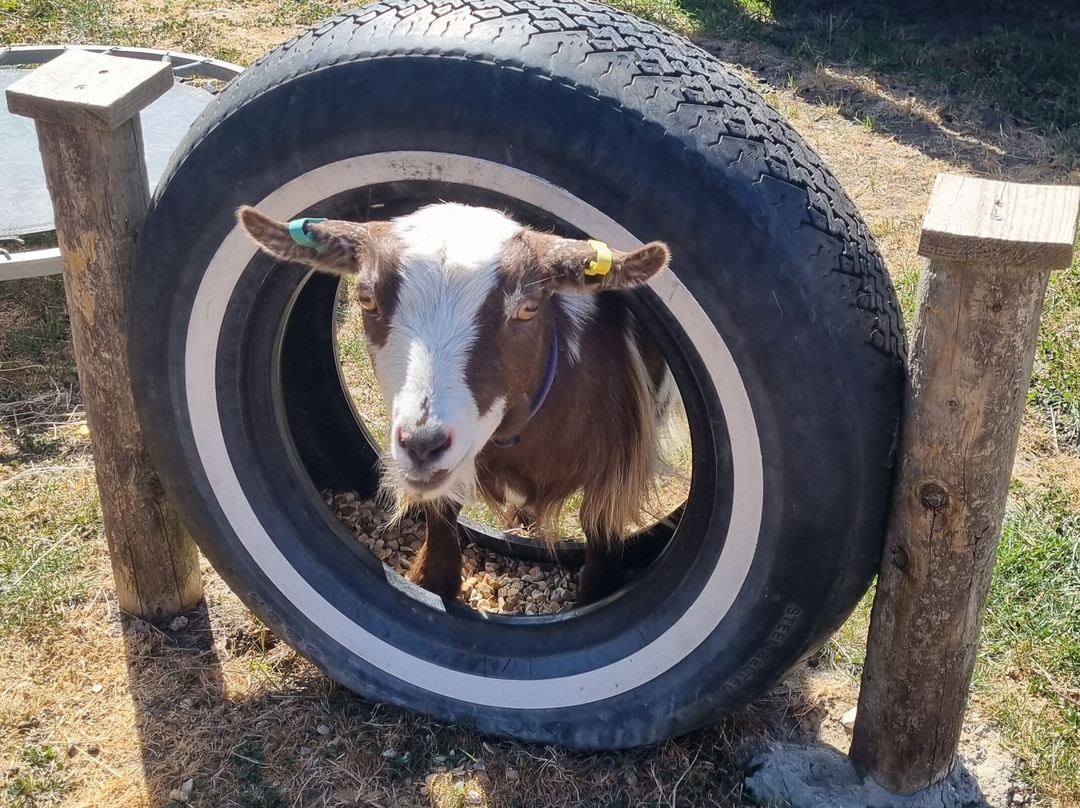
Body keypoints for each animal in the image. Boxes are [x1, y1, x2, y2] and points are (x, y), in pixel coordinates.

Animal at [239, 203, 672, 604]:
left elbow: (599, 530)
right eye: (367, 299)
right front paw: (433, 580)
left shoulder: (616, 470)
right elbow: (442, 522)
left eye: (528, 308)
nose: (422, 445)